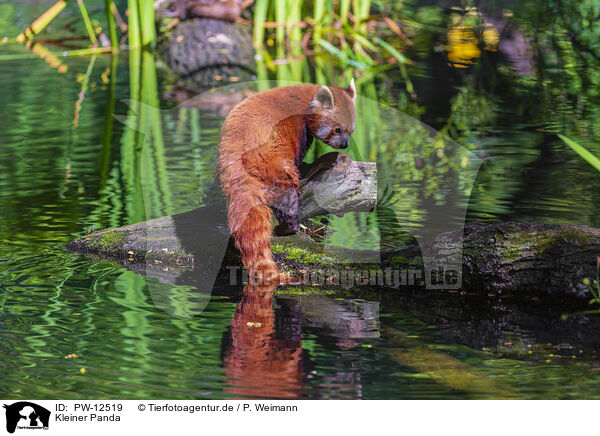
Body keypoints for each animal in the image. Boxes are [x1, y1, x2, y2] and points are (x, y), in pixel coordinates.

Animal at [217, 80, 354, 284]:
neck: (305, 99)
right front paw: (310, 166)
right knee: (286, 193)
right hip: (272, 159)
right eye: (337, 129)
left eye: (350, 131)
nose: (344, 144)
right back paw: (288, 227)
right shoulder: (297, 130)